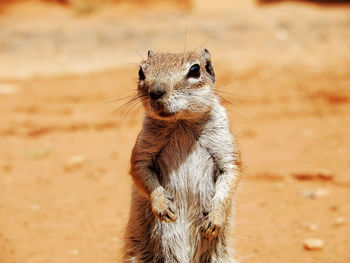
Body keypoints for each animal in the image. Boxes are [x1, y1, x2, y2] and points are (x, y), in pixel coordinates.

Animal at [123, 49, 241, 262]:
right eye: (141, 72)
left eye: (195, 70)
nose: (156, 91)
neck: (181, 123)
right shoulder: (143, 150)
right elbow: (140, 171)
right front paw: (162, 206)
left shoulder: (225, 146)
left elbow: (231, 173)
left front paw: (215, 218)